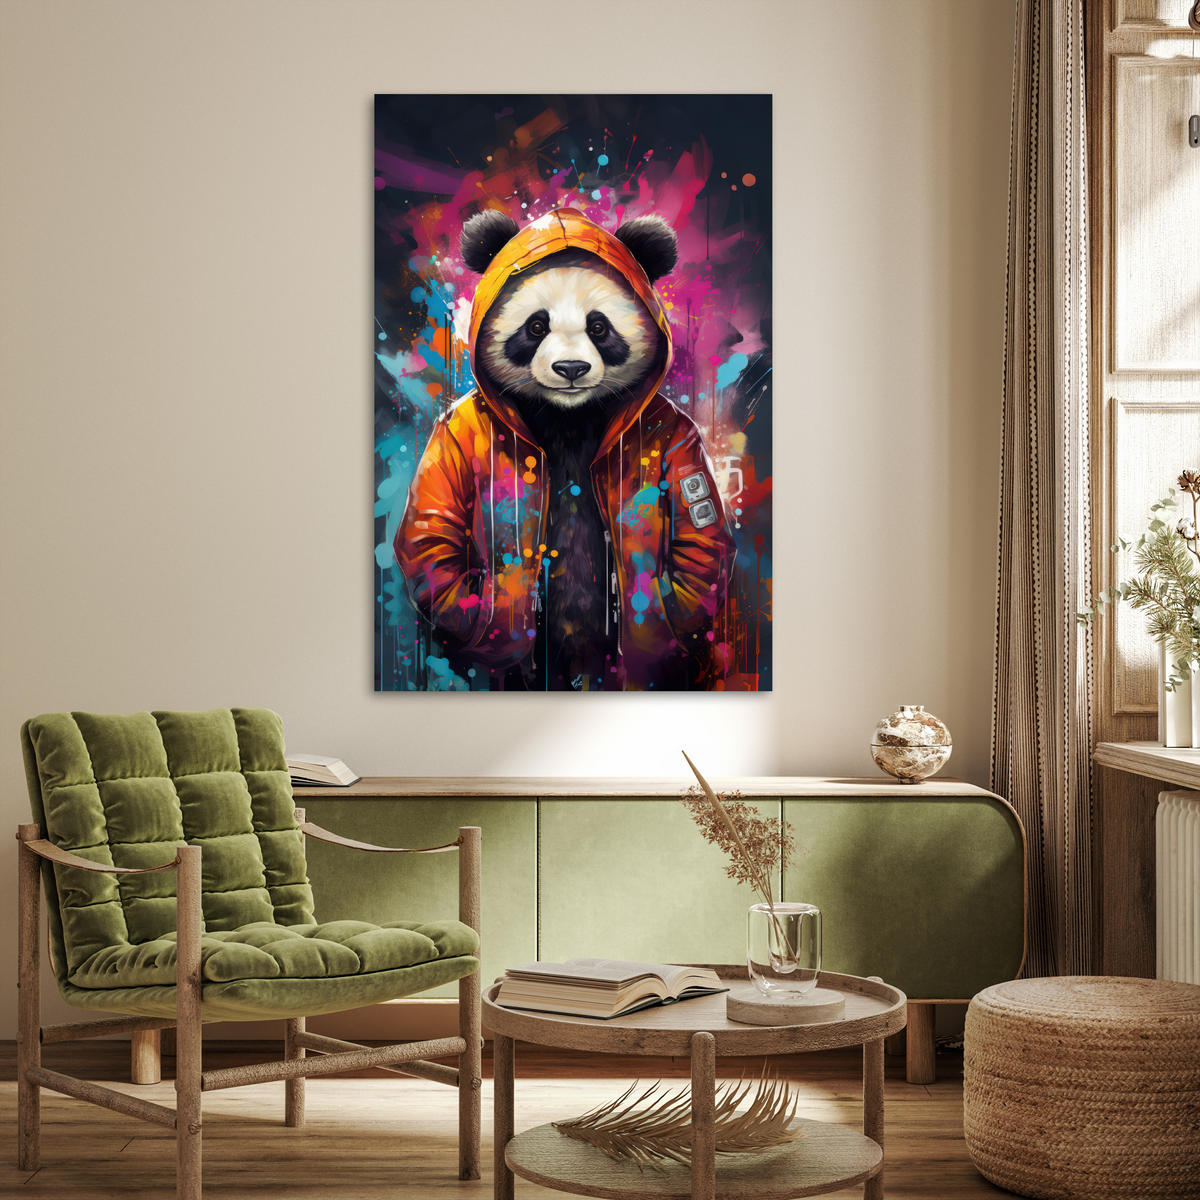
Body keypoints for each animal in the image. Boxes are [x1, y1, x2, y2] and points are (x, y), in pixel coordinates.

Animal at [396, 207, 734, 691]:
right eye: (536, 326)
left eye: (599, 327)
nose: (570, 368)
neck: (568, 416)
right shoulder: (454, 432)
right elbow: (435, 530)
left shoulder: (676, 431)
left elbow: (697, 538)